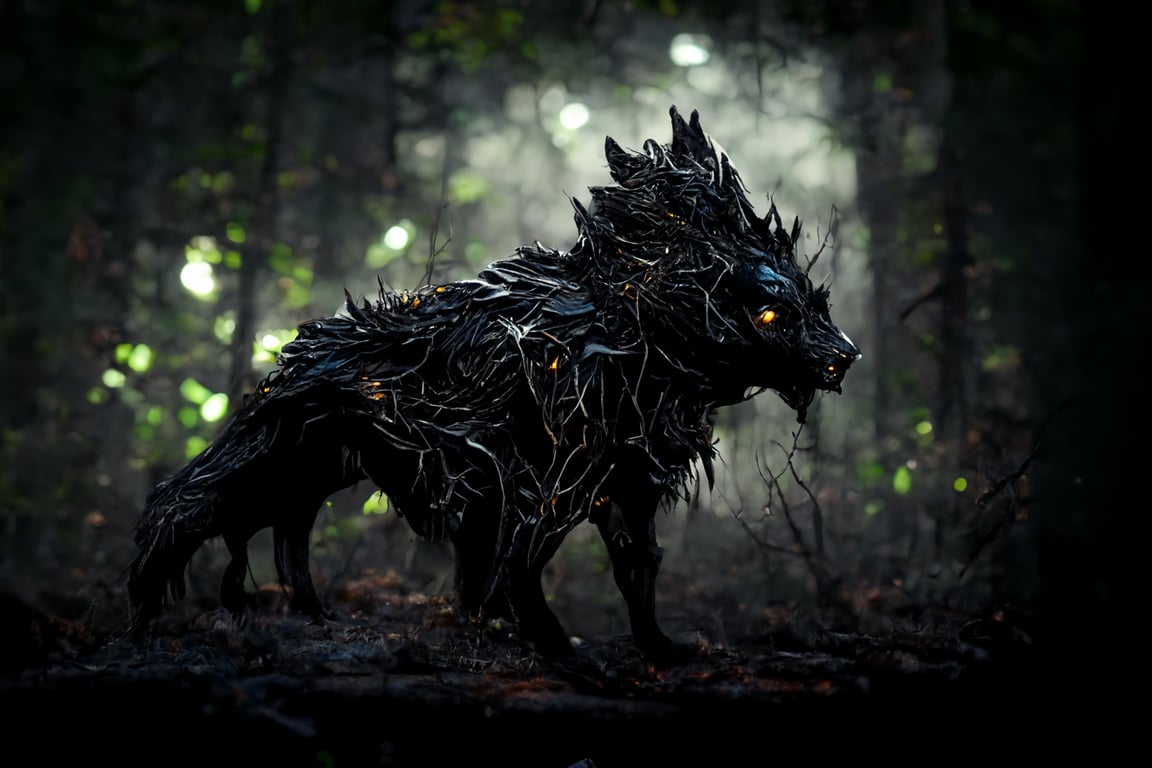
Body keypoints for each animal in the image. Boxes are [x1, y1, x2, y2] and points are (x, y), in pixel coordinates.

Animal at [126, 106, 860, 662]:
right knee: (182, 500)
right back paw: (141, 616)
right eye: (773, 307)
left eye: (813, 297)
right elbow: (525, 565)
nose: (845, 357)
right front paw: (555, 647)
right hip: (276, 446)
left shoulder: (627, 479)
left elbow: (637, 565)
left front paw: (658, 648)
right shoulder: (546, 479)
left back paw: (299, 614)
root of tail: (297, 347)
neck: (629, 333)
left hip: (314, 464)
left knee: (268, 525)